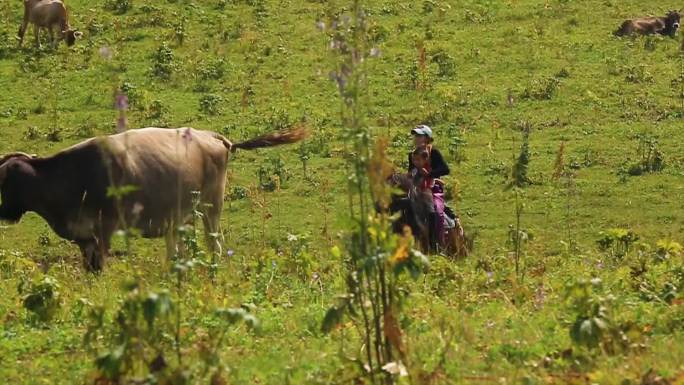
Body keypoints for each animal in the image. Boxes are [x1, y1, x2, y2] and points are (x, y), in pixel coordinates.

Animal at [0, 126, 308, 270]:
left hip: (212, 205)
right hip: (184, 213)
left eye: (4, 182)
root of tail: (213, 137)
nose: (3, 212)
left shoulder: (104, 229)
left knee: (214, 243)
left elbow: (100, 265)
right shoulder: (84, 236)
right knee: (181, 246)